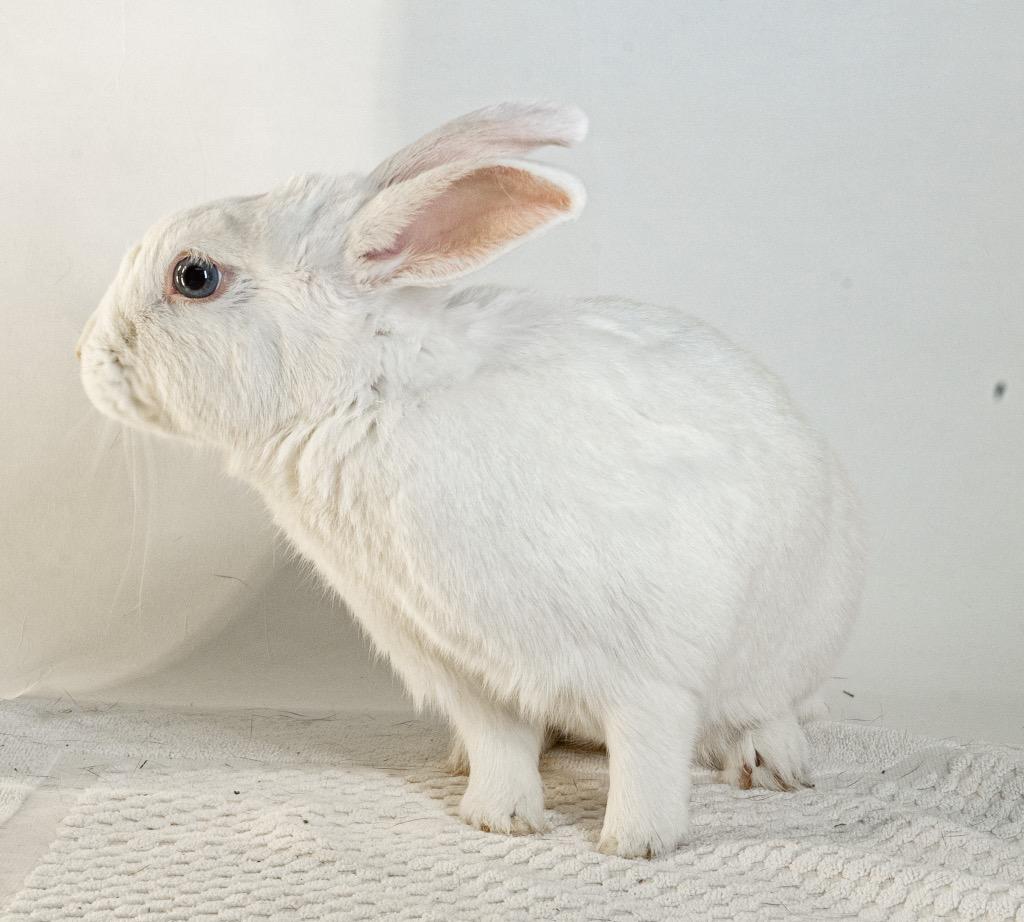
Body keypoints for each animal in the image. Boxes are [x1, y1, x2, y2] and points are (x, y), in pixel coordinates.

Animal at [77, 102, 865, 858]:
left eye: (195, 277)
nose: (87, 357)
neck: (366, 393)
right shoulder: (464, 669)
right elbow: (501, 746)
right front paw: (500, 819)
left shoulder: (647, 669)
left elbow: (648, 753)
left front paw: (638, 844)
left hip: (784, 650)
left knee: (764, 710)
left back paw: (773, 766)